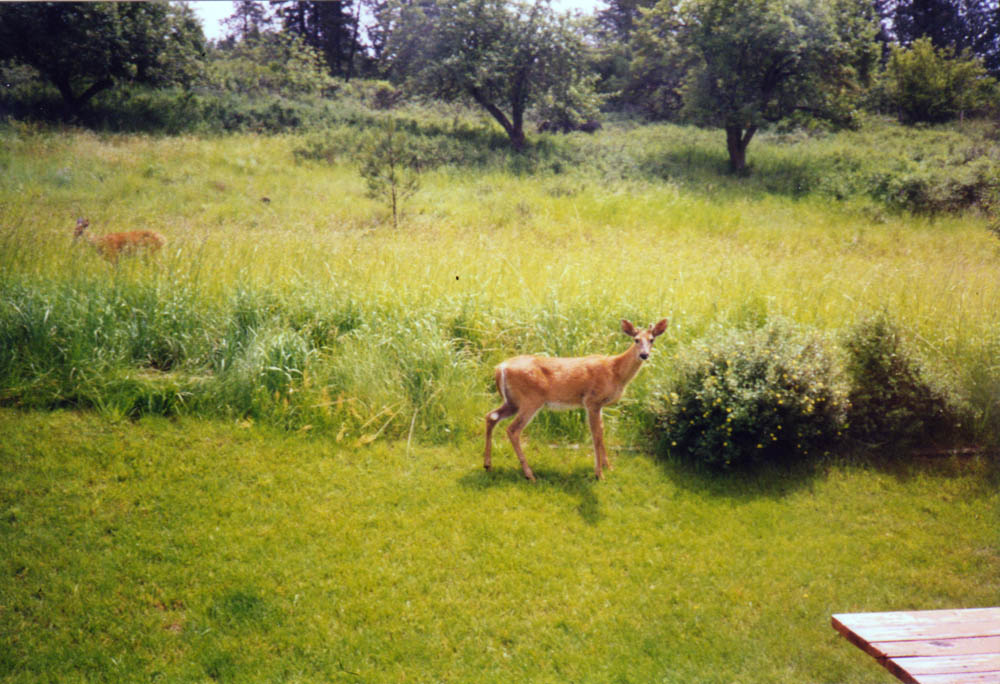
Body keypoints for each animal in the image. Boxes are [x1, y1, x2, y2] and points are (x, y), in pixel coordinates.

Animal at [484, 318, 668, 482]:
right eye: (636, 340)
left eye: (652, 340)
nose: (644, 354)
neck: (615, 372)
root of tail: (500, 368)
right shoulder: (592, 400)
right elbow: (595, 434)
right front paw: (599, 474)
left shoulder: (600, 405)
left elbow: (602, 431)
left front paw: (608, 466)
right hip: (531, 399)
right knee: (513, 429)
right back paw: (529, 474)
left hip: (513, 402)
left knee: (490, 416)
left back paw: (488, 465)